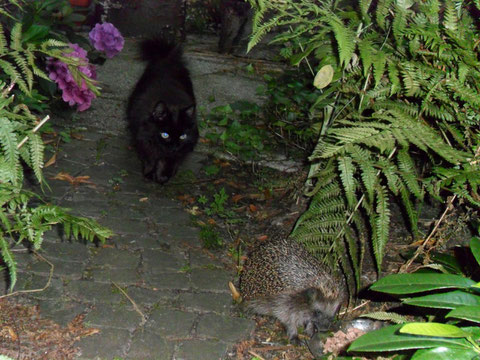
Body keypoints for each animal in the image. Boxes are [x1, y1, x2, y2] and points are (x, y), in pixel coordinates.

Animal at [127, 37, 199, 183]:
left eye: (182, 136)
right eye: (165, 135)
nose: (174, 146)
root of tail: (167, 58)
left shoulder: (179, 151)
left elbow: (170, 162)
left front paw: (163, 176)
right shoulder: (143, 140)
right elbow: (149, 158)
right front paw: (149, 173)